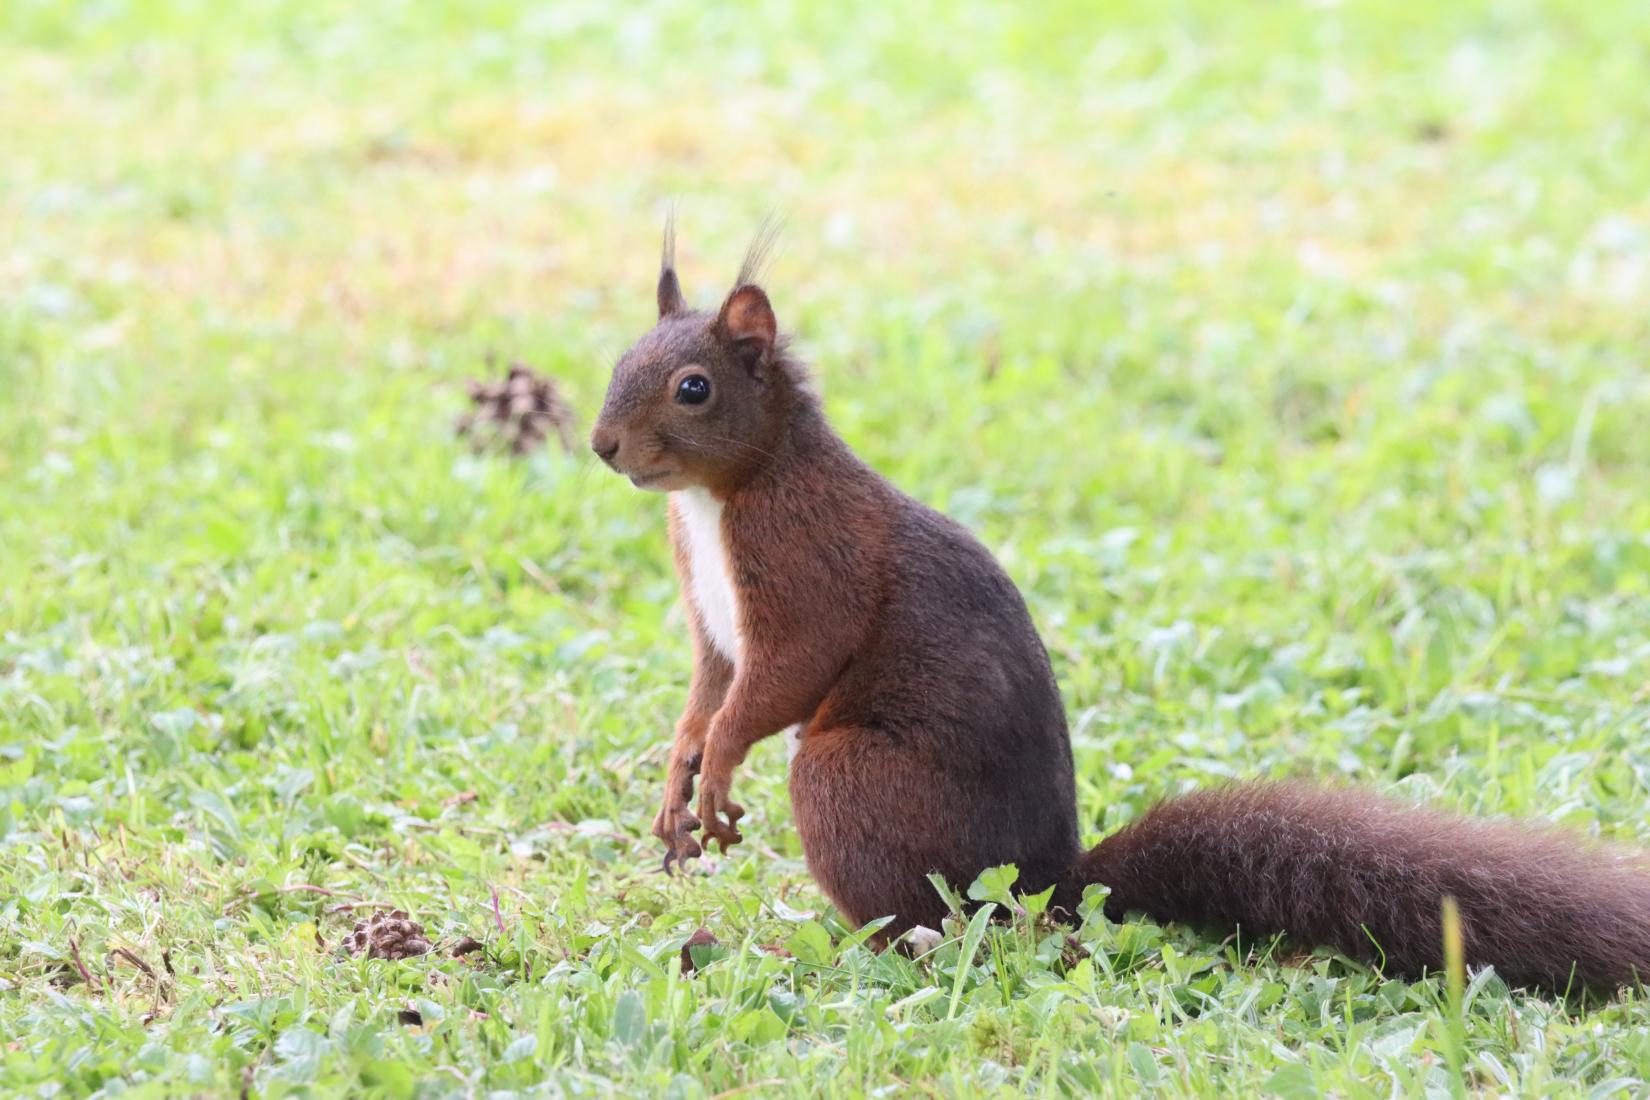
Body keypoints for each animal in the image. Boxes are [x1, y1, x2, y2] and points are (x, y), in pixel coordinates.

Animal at [590, 219, 1650, 996]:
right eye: (618, 359)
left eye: (693, 388)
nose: (601, 447)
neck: (726, 494)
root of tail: (1053, 888)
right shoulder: (711, 614)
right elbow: (710, 686)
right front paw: (679, 774)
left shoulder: (811, 567)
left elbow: (782, 677)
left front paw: (721, 771)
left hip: (854, 781)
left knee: (931, 926)